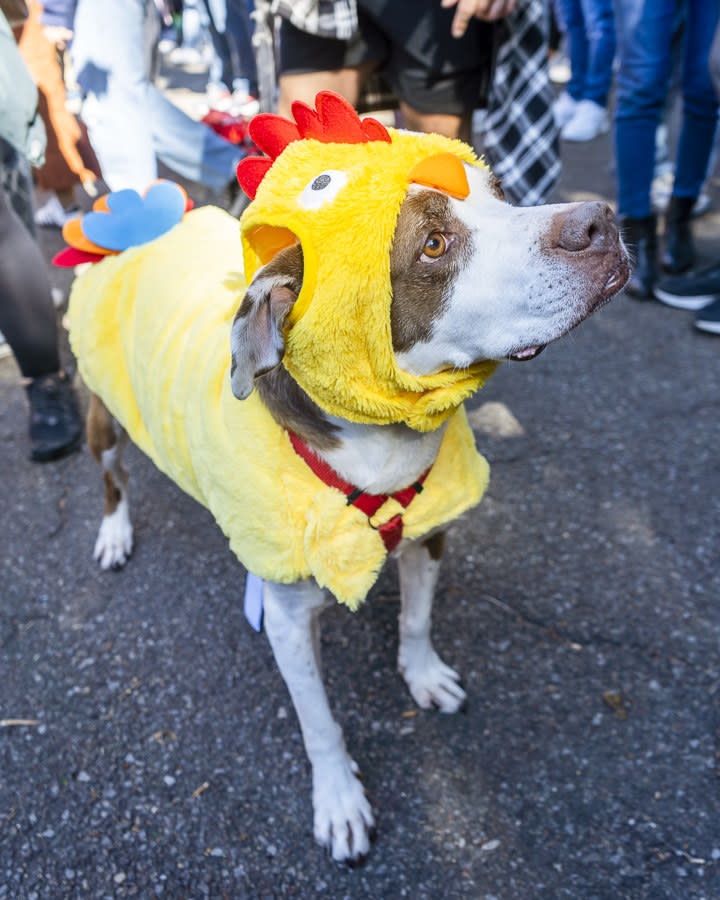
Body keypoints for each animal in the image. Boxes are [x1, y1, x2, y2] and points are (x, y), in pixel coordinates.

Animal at [69, 93, 632, 864]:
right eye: (432, 245)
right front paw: (339, 801)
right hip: (102, 413)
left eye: (499, 193)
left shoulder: (431, 530)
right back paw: (114, 532)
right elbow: (319, 723)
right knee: (112, 477)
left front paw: (423, 675)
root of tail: (134, 223)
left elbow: (417, 619)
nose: (599, 220)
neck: (382, 446)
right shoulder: (285, 619)